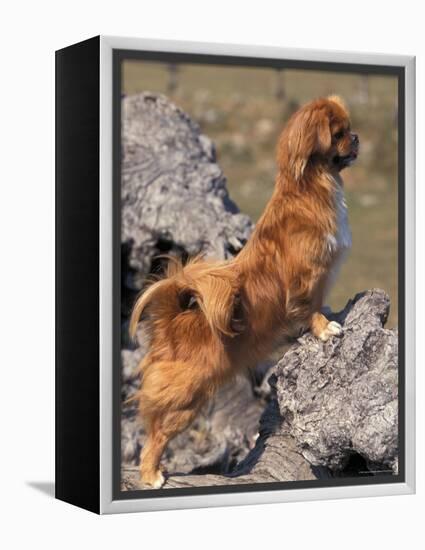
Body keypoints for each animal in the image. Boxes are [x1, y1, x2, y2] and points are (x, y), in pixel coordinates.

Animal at [129, 96, 358, 492]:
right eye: (340, 133)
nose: (357, 137)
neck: (311, 188)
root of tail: (172, 323)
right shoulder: (308, 276)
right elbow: (310, 305)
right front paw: (323, 328)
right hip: (187, 400)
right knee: (155, 435)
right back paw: (151, 475)